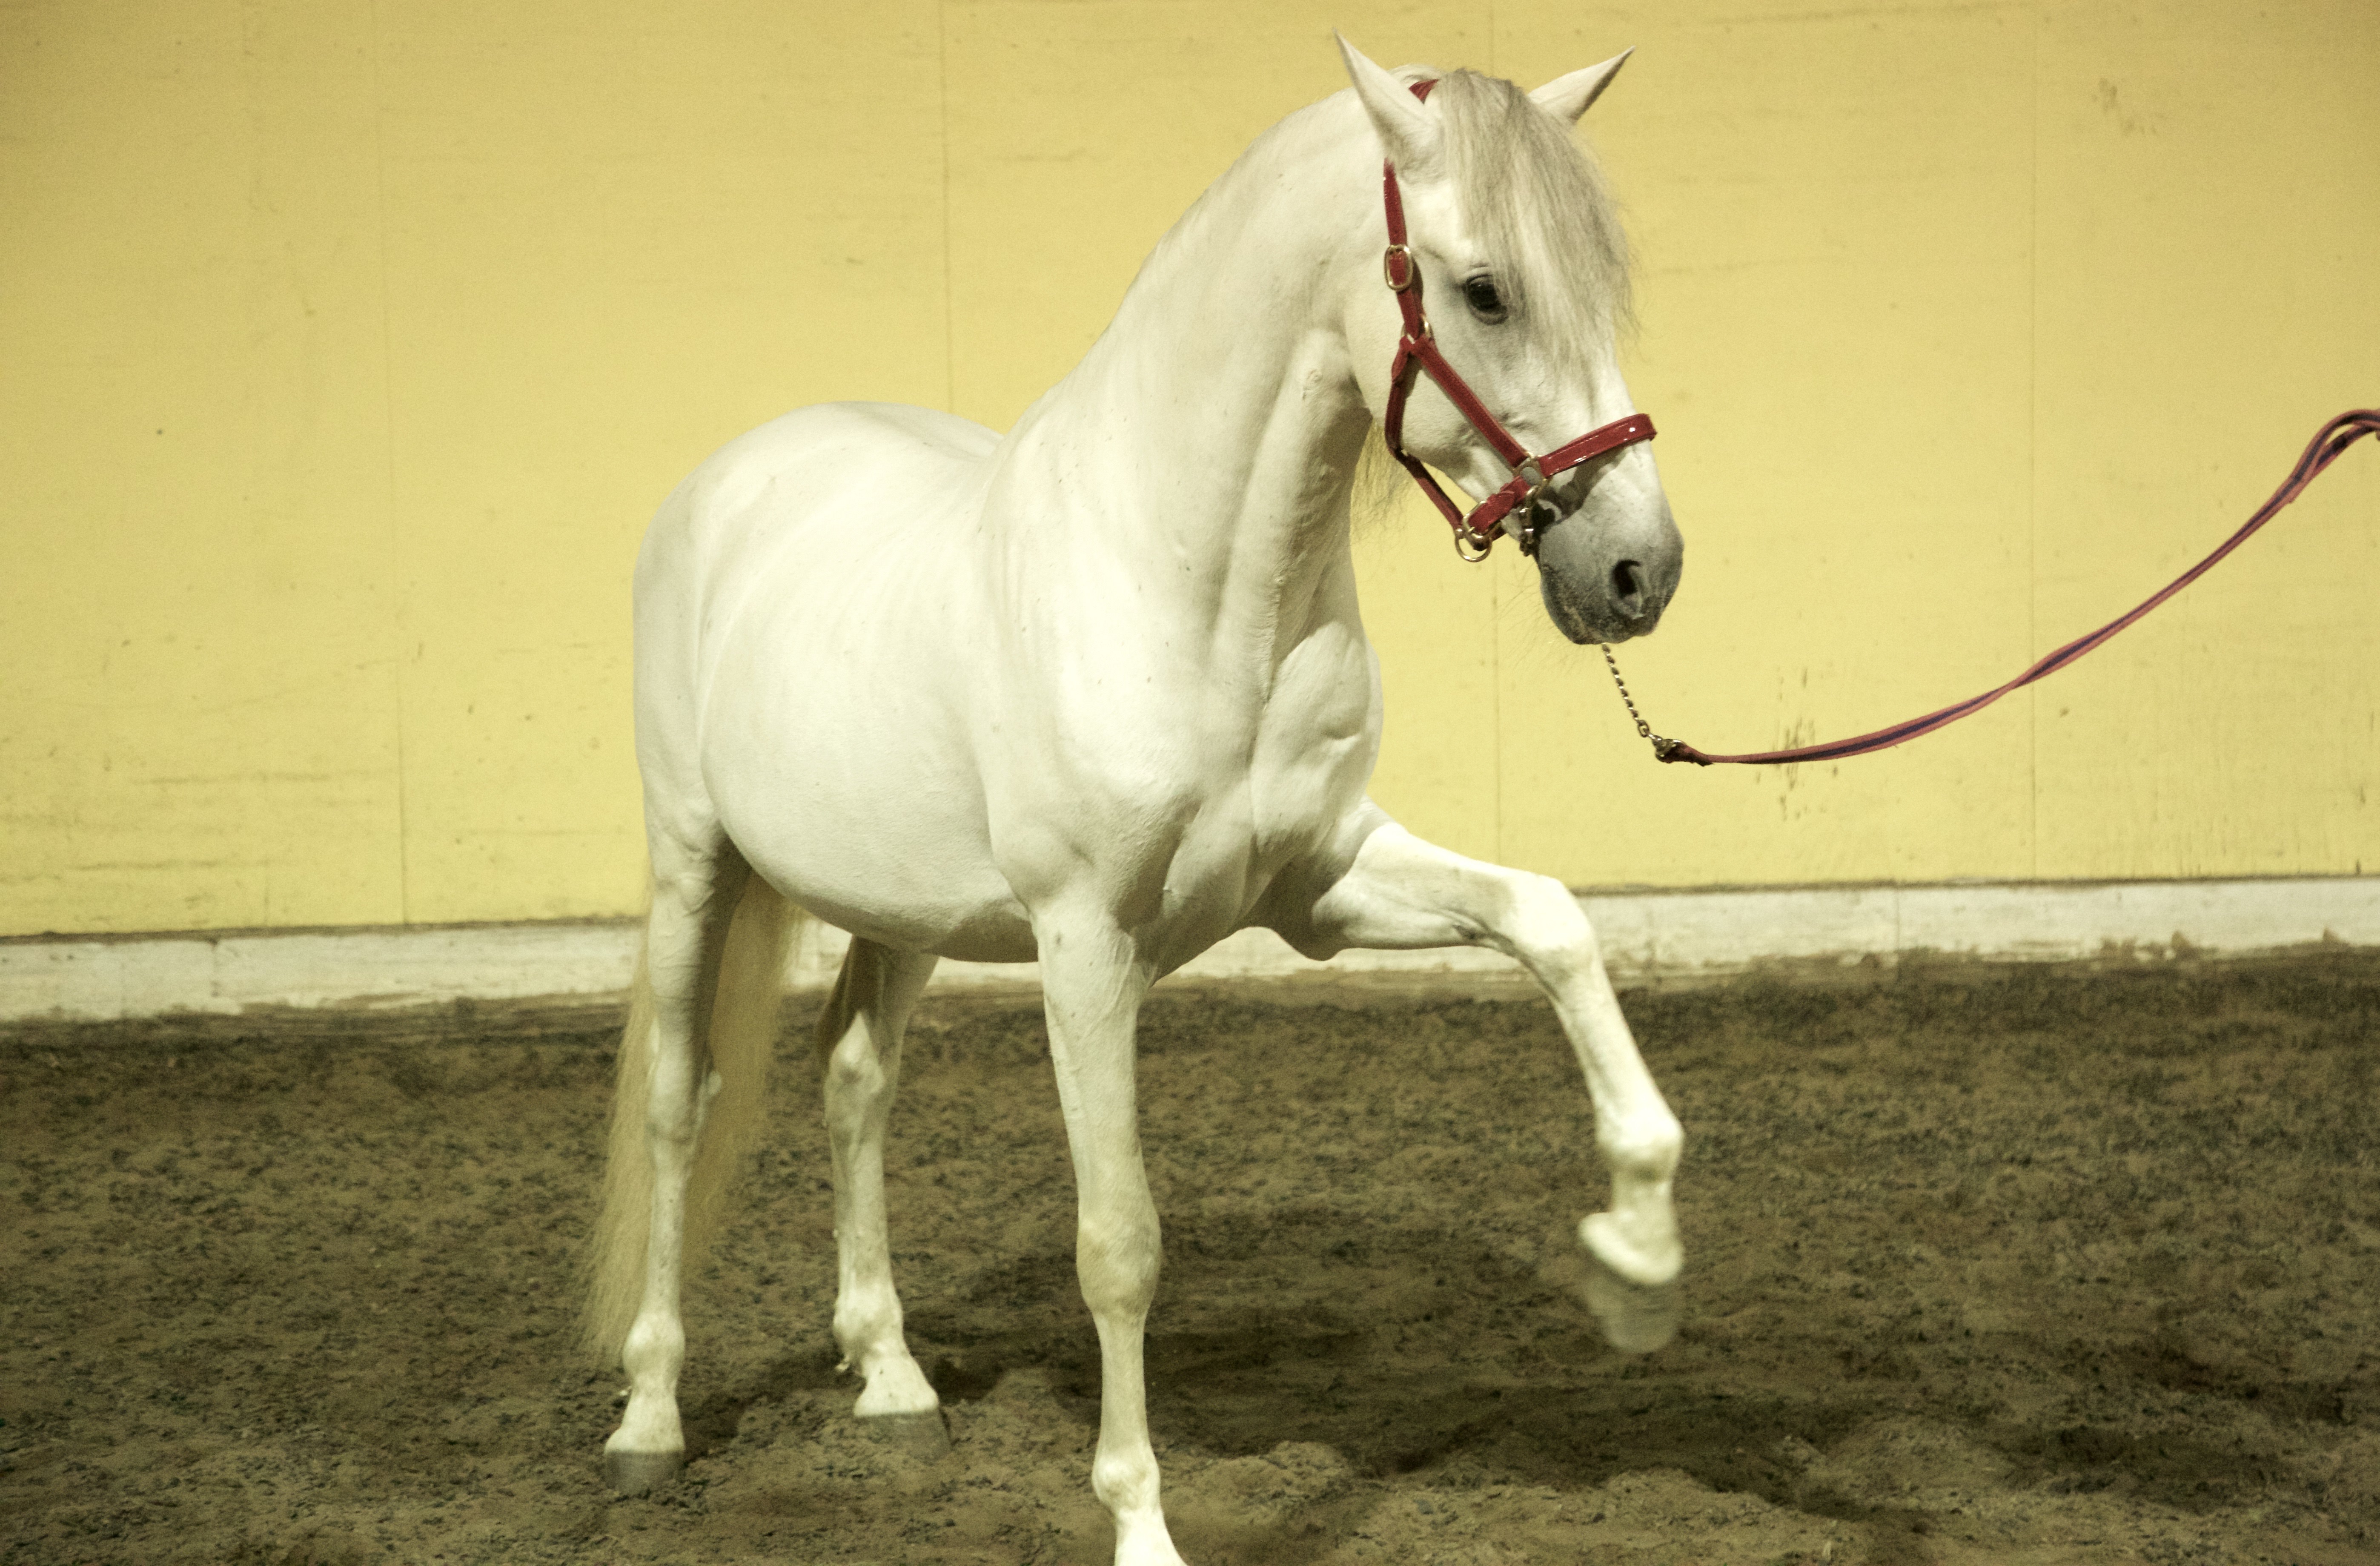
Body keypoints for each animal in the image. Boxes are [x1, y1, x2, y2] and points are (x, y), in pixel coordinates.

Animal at [584, 35, 1687, 1566]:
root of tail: (727, 478)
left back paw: (893, 1380)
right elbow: (1117, 1241)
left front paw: (1635, 1252)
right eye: (1484, 289)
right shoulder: (1084, 944)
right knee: (682, 1102)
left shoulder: (1321, 883)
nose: (1639, 570)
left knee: (854, 1076)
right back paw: (649, 1417)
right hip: (696, 862)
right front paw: (1141, 1523)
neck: (1190, 583)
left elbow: (1553, 919)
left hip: (901, 907)